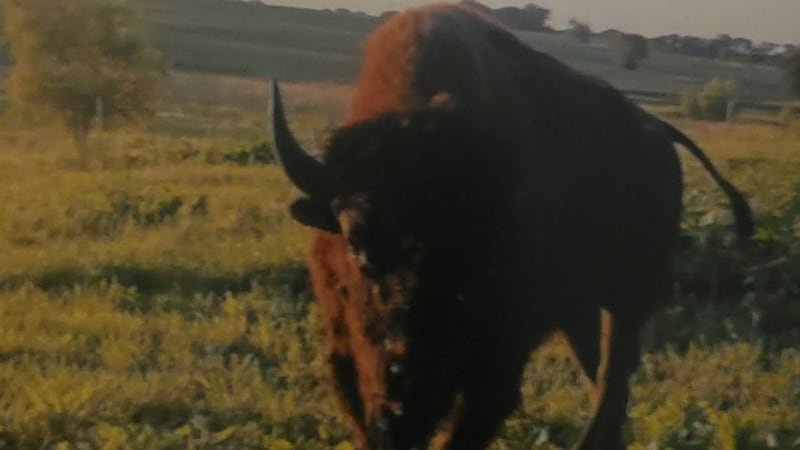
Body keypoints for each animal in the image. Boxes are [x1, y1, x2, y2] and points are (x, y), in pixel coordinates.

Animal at [269, 3, 754, 450]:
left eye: (477, 251)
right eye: (356, 242)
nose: (405, 394)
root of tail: (659, 134)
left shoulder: (497, 371)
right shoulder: (347, 359)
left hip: (627, 300)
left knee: (613, 383)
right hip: (580, 308)